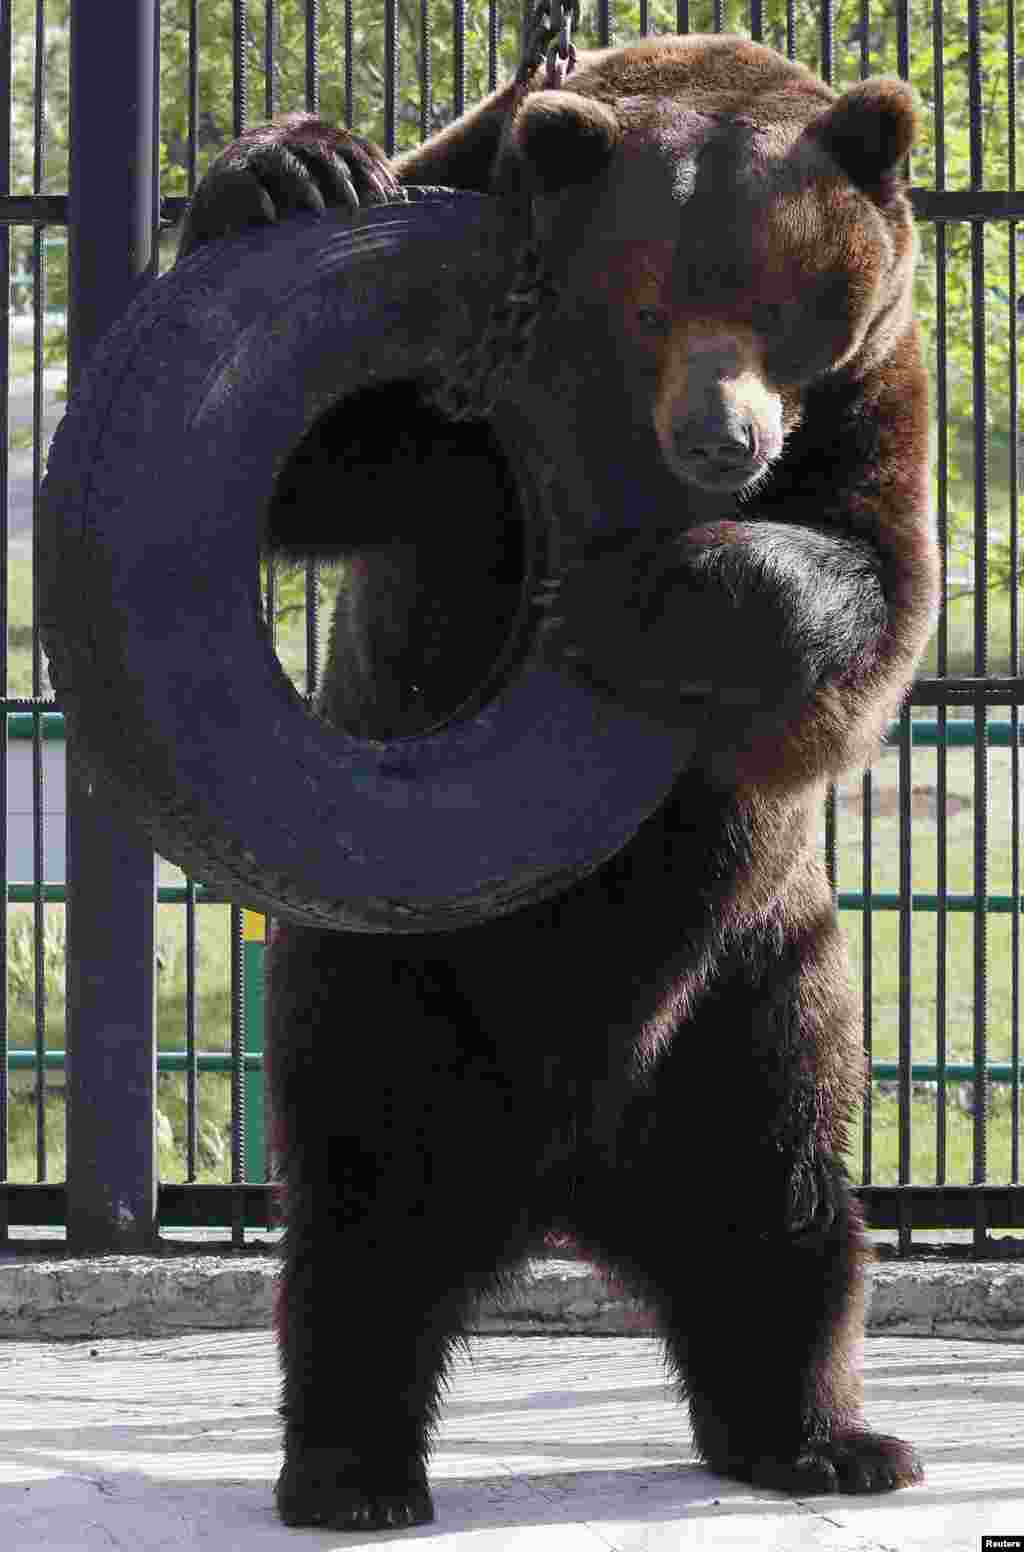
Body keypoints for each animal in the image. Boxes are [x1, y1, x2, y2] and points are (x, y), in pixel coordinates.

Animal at [179, 30, 937, 1533]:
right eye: (648, 306)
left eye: (782, 300)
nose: (720, 442)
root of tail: (566, 1180)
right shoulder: (459, 342)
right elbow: (316, 461)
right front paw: (293, 165)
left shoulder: (876, 399)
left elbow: (866, 585)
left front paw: (653, 595)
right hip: (390, 987)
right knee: (364, 1220)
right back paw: (352, 1468)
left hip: (755, 987)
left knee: (788, 1203)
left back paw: (821, 1437)